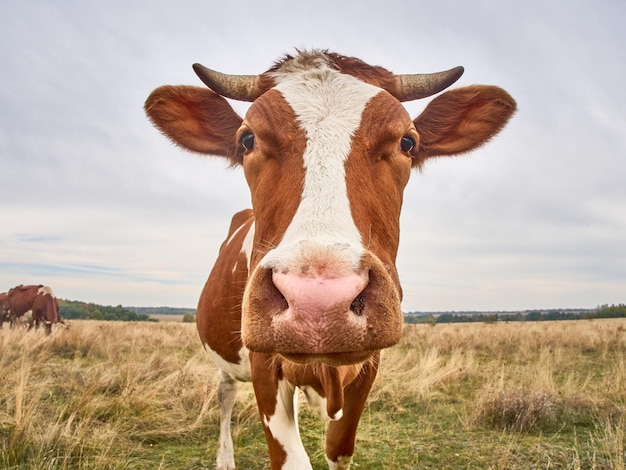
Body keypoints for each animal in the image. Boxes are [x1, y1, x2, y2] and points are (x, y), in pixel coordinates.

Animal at [144, 49, 516, 468]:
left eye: (407, 142)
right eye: (247, 139)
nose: (318, 302)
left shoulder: (368, 367)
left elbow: (339, 448)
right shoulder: (262, 366)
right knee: (224, 393)